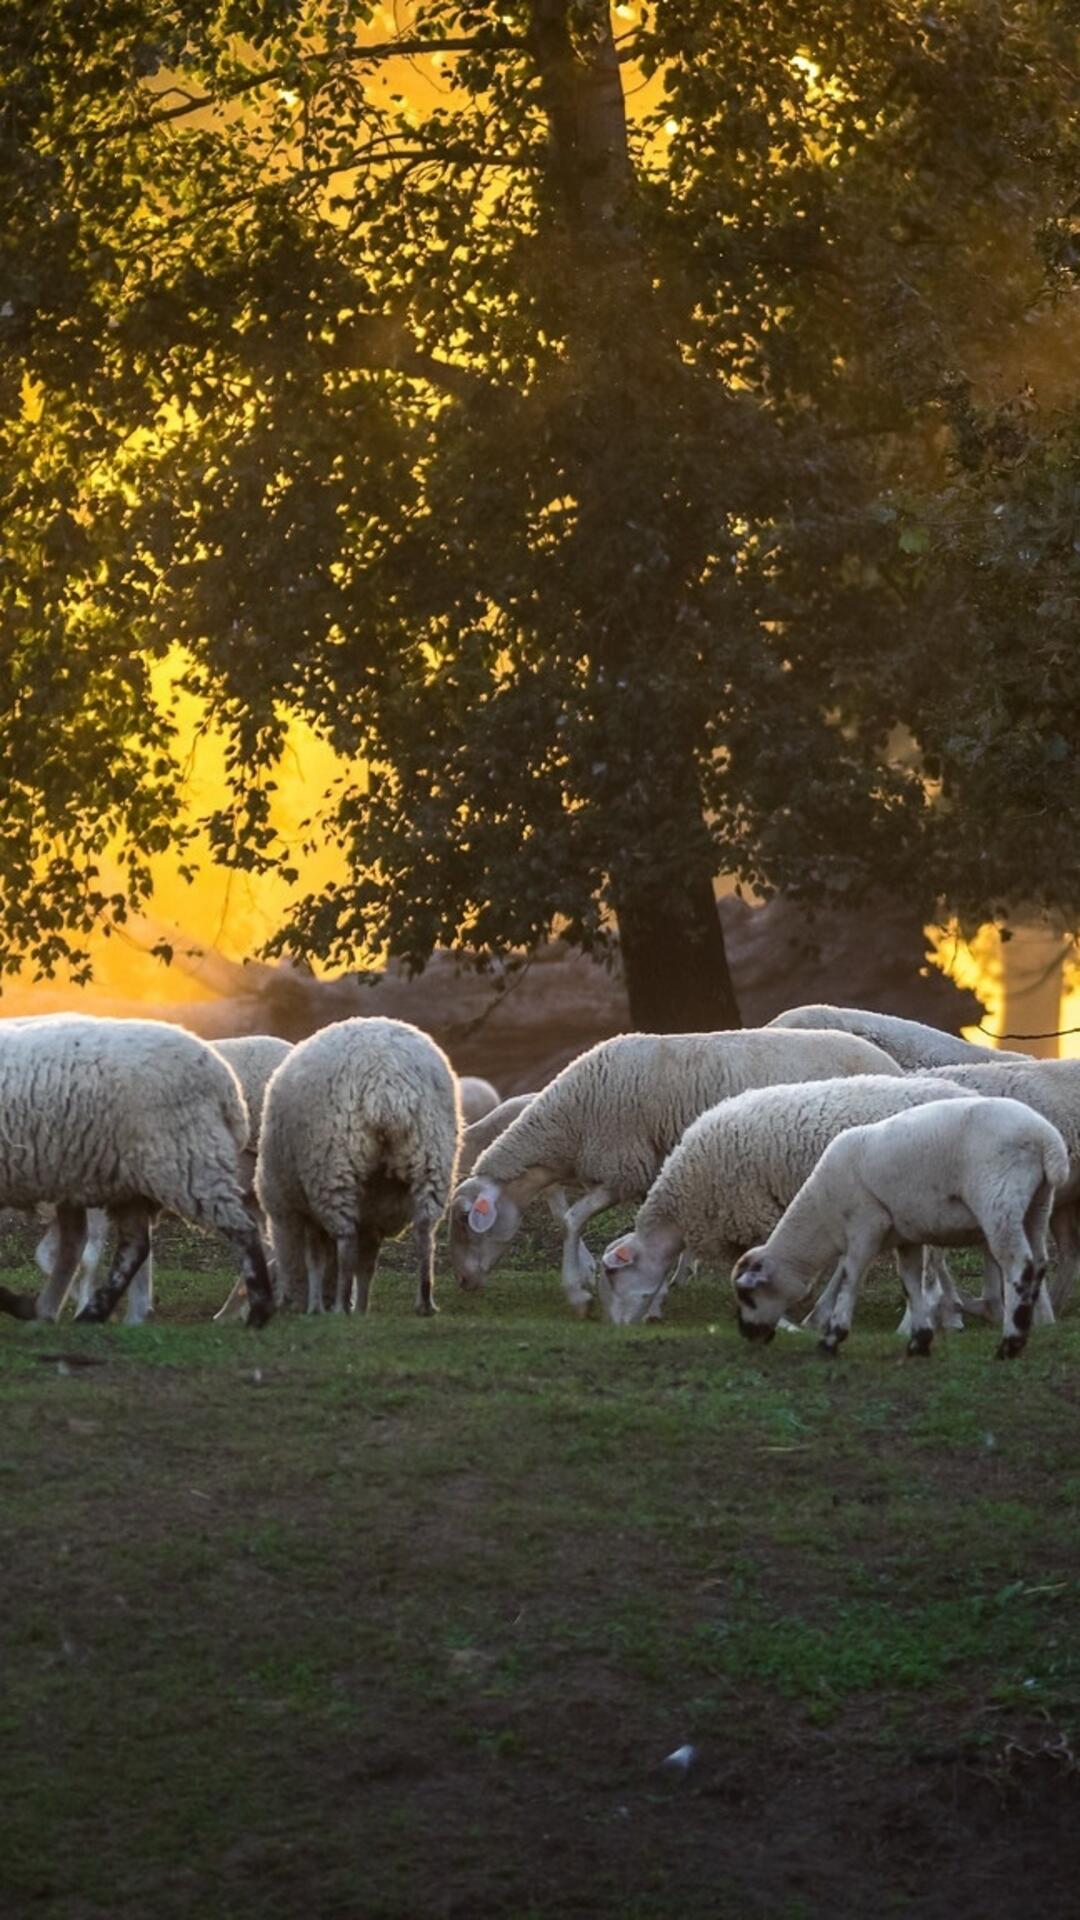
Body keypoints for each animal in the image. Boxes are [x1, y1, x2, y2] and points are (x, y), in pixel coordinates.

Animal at [0, 1015, 272, 1326]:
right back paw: (91, 1312)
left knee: (243, 1230)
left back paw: (258, 1311)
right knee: (133, 1246)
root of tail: (226, 1083)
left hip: (185, 1161)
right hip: (127, 1177)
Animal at [256, 1016, 460, 1317]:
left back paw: (341, 1306)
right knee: (424, 1233)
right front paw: (361, 1306)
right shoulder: (372, 1219)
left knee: (345, 1241)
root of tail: (387, 1079)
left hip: (333, 1168)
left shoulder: (306, 1212)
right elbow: (367, 1266)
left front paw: (316, 1306)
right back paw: (424, 1301)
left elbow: (316, 1260)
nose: (289, 1303)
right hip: (431, 1157)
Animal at [449, 1028, 904, 1314]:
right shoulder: (654, 1172)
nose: (463, 1283)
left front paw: (578, 1291)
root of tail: (893, 1066)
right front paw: (669, 1280)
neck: (569, 1121)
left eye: (465, 1221)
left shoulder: (622, 1168)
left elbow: (572, 1219)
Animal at [596, 1074, 974, 1334]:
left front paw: (781, 1322)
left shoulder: (754, 1214)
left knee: (928, 1275)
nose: (617, 1327)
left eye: (613, 1276)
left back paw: (909, 1325)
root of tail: (965, 1094)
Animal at [732, 1096, 1068, 1360]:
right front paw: (919, 1342)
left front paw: (832, 1339)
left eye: (748, 1295)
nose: (746, 1334)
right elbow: (909, 1282)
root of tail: (1046, 1138)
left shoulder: (865, 1225)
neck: (822, 1214)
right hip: (1037, 1205)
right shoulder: (906, 1235)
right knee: (1039, 1263)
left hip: (999, 1201)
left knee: (1018, 1266)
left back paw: (1009, 1344)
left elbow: (851, 1278)